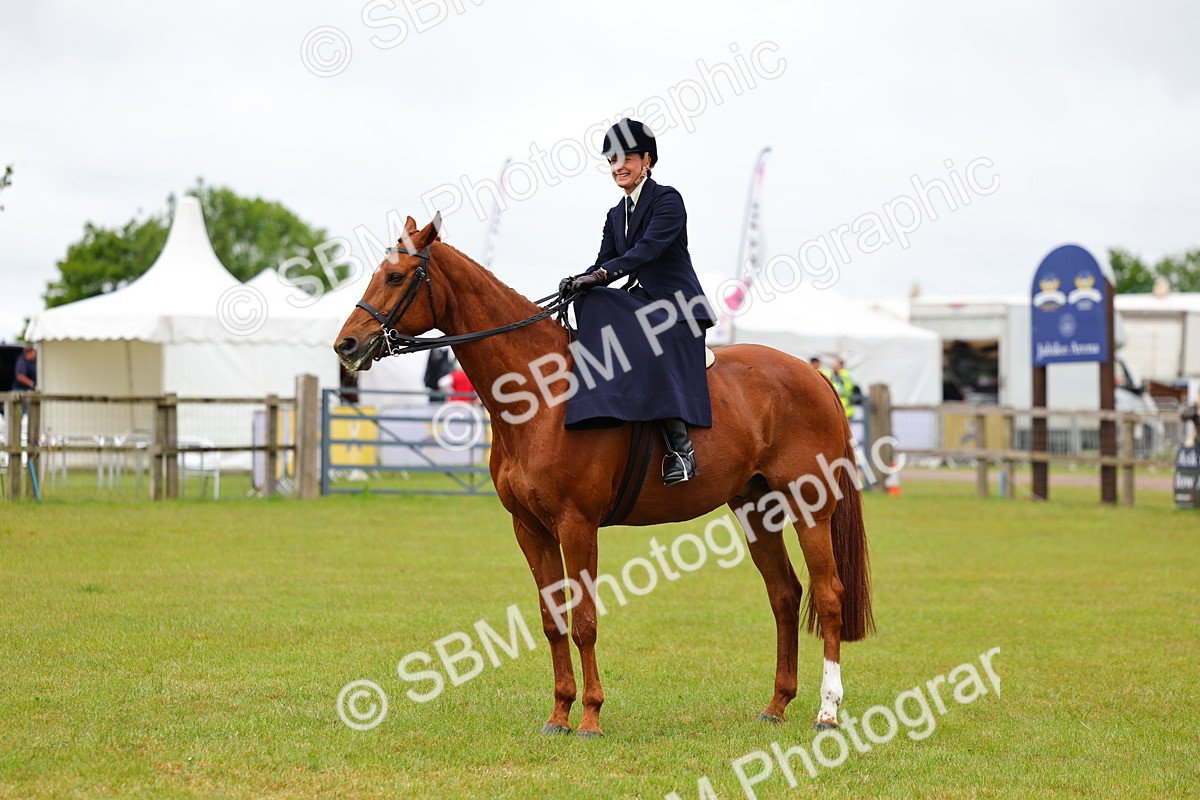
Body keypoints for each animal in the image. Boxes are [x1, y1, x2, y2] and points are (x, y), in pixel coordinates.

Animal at [335, 214, 873, 737]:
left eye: (397, 276)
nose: (347, 344)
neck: (541, 392)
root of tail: (813, 374)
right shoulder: (530, 529)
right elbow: (553, 621)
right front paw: (559, 715)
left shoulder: (577, 525)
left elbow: (585, 621)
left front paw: (591, 718)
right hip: (755, 508)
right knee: (784, 595)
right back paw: (777, 705)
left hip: (809, 506)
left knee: (829, 596)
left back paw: (827, 711)